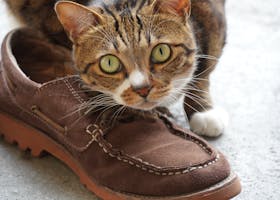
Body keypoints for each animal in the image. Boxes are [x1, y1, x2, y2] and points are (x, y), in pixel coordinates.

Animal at [4, 0, 228, 137]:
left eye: (161, 52)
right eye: (109, 63)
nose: (142, 89)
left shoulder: (214, 19)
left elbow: (205, 68)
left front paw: (202, 109)